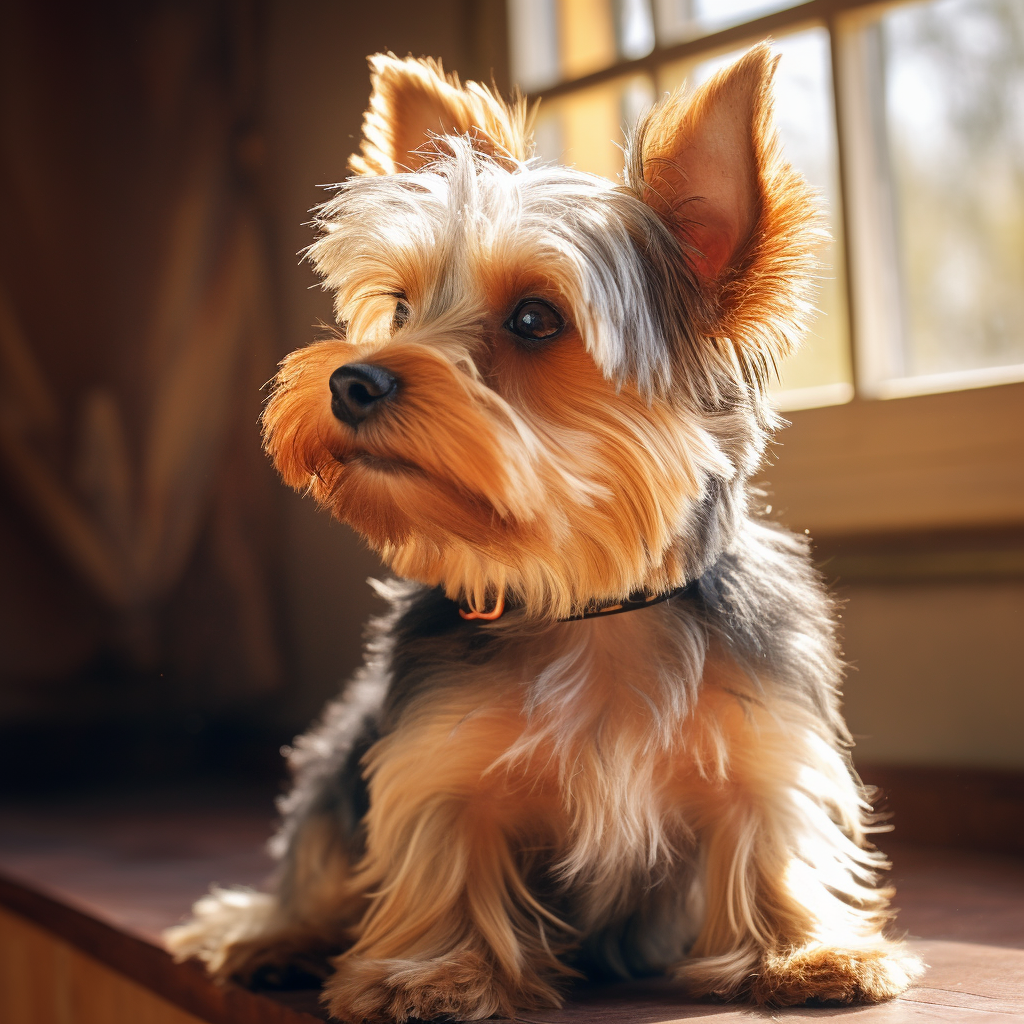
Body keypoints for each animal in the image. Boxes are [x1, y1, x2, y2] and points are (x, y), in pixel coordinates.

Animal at [165, 44, 921, 1019]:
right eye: (401, 309)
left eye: (535, 319)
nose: (350, 381)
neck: (588, 604)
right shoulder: (437, 752)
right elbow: (442, 851)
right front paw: (432, 974)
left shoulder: (765, 739)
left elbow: (771, 837)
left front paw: (810, 950)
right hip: (339, 761)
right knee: (310, 865)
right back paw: (273, 938)